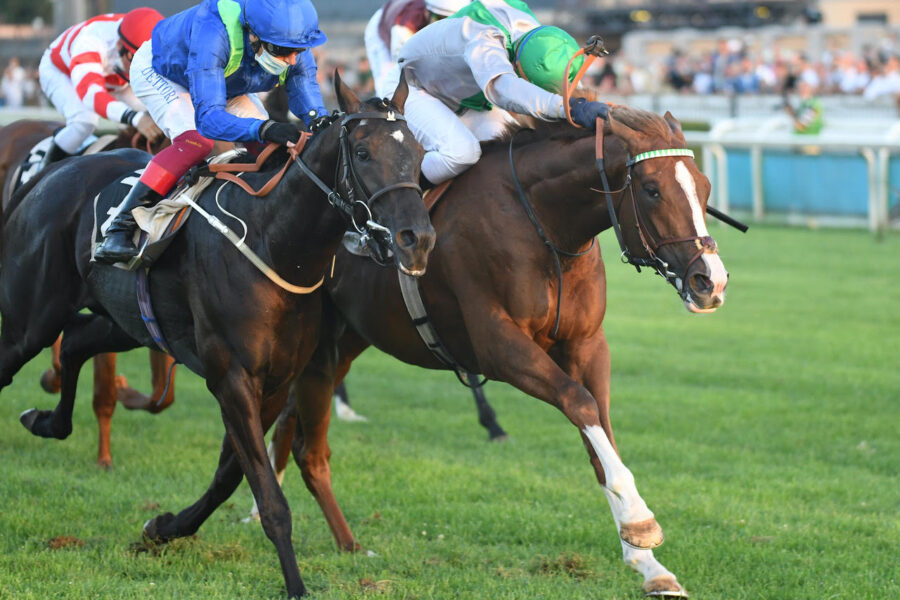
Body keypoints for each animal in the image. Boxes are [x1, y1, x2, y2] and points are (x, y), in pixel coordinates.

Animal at [259, 105, 730, 598]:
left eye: (704, 187)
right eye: (652, 190)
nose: (711, 282)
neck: (542, 225)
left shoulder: (586, 344)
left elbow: (600, 429)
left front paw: (649, 564)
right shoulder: (498, 345)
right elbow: (580, 403)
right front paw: (641, 522)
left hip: (344, 337)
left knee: (297, 422)